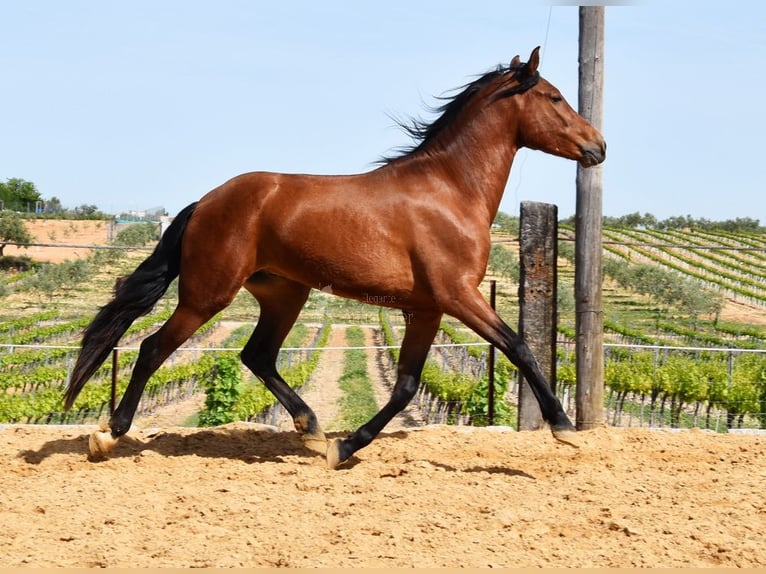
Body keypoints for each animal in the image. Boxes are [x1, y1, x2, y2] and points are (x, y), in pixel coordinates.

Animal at [63, 47, 608, 470]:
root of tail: (206, 202)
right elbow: (519, 347)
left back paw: (310, 429)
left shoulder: (427, 308)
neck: (450, 191)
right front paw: (564, 427)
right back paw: (107, 436)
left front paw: (342, 448)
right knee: (153, 348)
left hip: (284, 293)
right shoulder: (458, 295)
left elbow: (406, 386)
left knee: (257, 355)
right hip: (207, 295)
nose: (598, 145)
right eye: (554, 97)